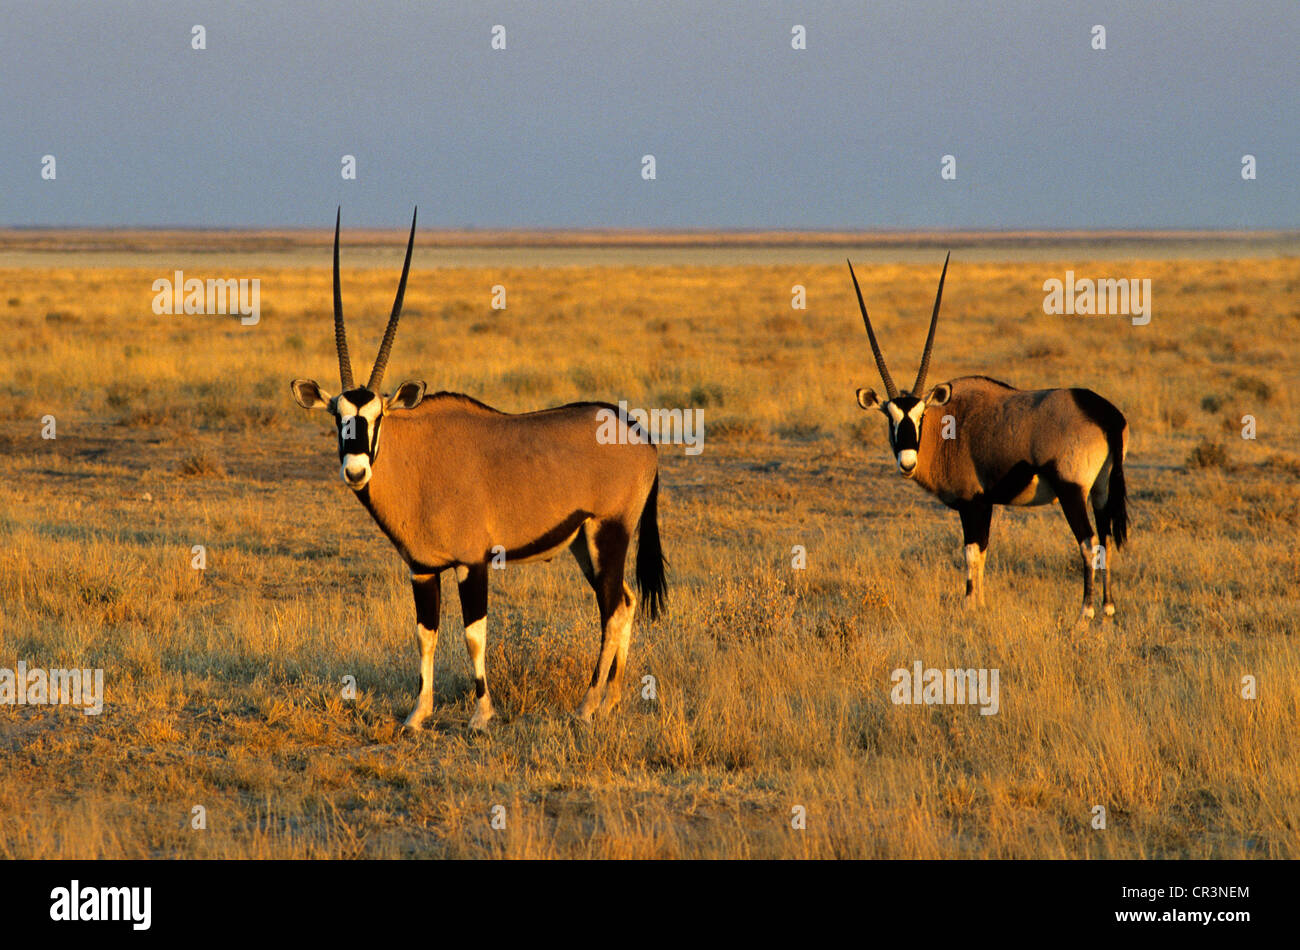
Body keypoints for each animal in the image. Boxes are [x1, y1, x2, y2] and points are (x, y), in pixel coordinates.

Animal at [289, 211, 665, 732]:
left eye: (376, 416)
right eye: (336, 415)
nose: (357, 470)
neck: (418, 458)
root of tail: (637, 432)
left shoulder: (473, 563)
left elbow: (473, 634)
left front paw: (482, 714)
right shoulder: (422, 569)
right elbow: (425, 634)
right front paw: (417, 715)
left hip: (608, 533)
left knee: (611, 610)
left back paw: (587, 706)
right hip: (583, 545)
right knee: (626, 603)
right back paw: (610, 701)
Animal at [852, 254, 1128, 623]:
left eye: (920, 415)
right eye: (890, 417)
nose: (907, 462)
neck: (947, 427)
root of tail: (1103, 414)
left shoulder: (975, 503)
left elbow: (972, 553)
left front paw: (970, 604)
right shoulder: (985, 506)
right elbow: (982, 553)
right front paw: (980, 603)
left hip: (1071, 490)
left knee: (1087, 542)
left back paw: (1085, 612)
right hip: (1101, 489)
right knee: (1105, 538)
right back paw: (1108, 608)